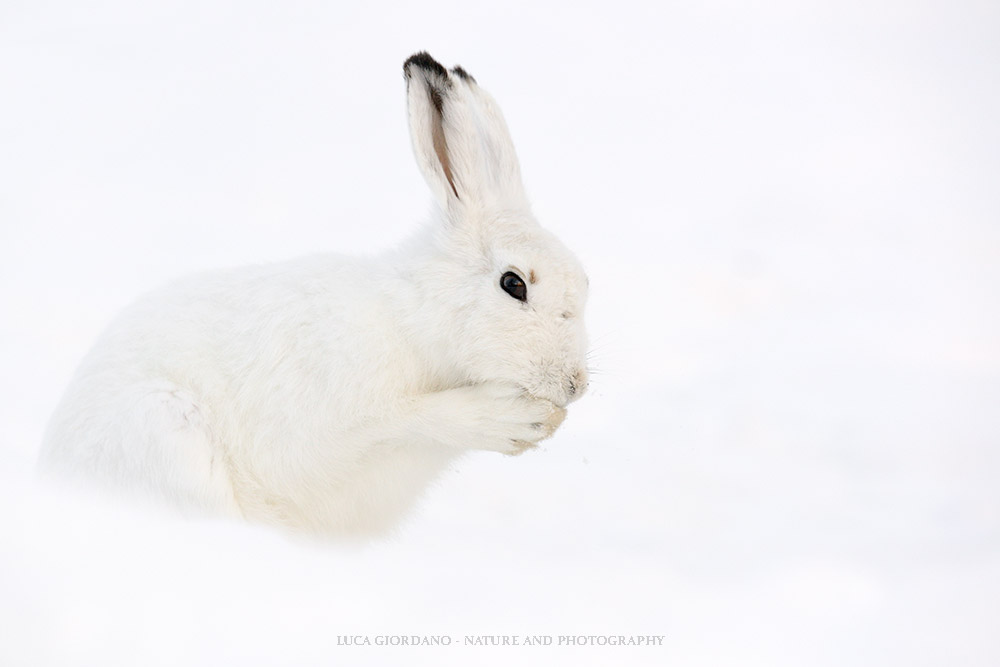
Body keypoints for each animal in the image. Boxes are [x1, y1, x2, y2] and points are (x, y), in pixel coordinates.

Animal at [39, 52, 590, 537]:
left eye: (585, 283)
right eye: (513, 284)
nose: (574, 386)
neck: (414, 323)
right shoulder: (327, 421)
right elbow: (402, 420)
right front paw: (512, 419)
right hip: (166, 433)